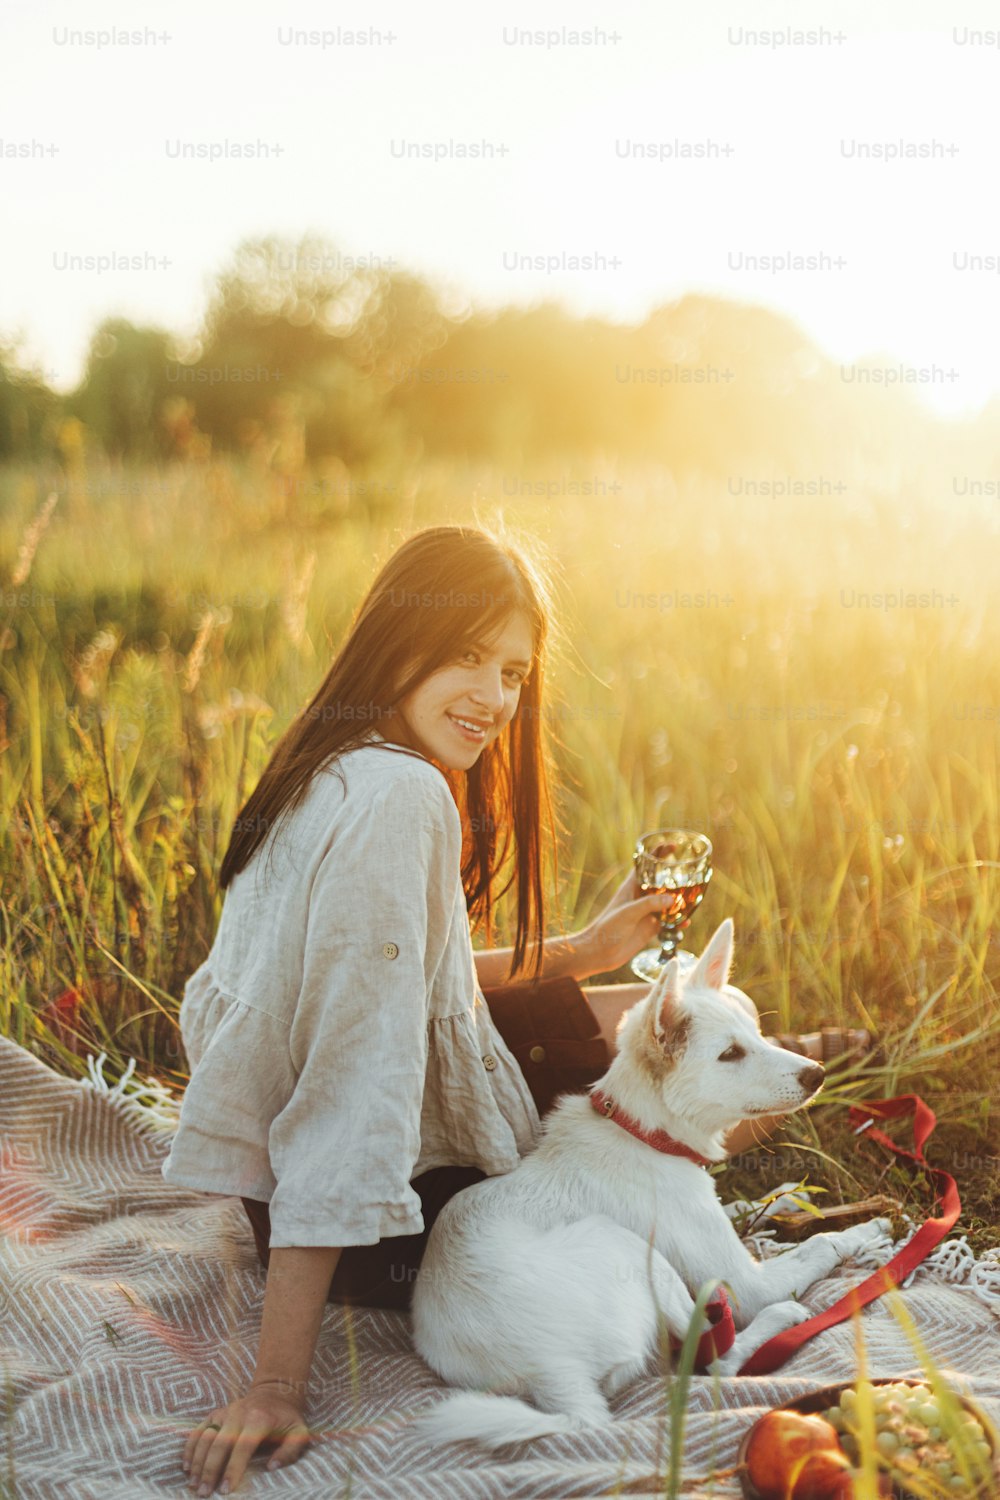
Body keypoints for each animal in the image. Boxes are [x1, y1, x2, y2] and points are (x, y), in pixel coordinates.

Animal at [410, 918, 887, 1446]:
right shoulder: (747, 1281)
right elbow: (820, 1244)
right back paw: (781, 1319)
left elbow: (751, 1205)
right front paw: (866, 1233)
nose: (818, 1073)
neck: (644, 1134)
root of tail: (552, 1375)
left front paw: (796, 1201)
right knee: (715, 1361)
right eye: (730, 1054)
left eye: (758, 1034)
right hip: (630, 1249)